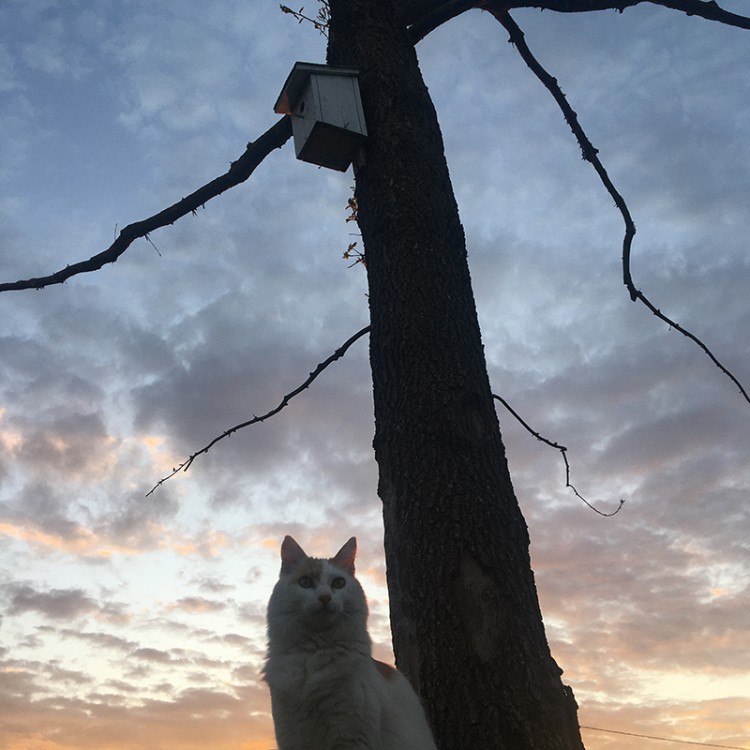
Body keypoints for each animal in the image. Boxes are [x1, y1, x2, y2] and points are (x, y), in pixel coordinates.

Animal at [266, 536, 438, 750]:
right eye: (305, 582)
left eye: (338, 583)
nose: (325, 597)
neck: (314, 652)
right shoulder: (290, 735)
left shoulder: (351, 736)